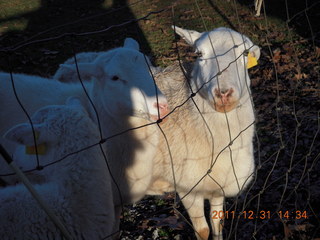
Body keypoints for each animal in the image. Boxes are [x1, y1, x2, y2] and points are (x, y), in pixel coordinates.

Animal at [148, 26, 260, 240]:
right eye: (199, 54)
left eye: (245, 53)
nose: (223, 94)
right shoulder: (188, 189)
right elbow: (203, 230)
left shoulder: (219, 185)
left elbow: (217, 223)